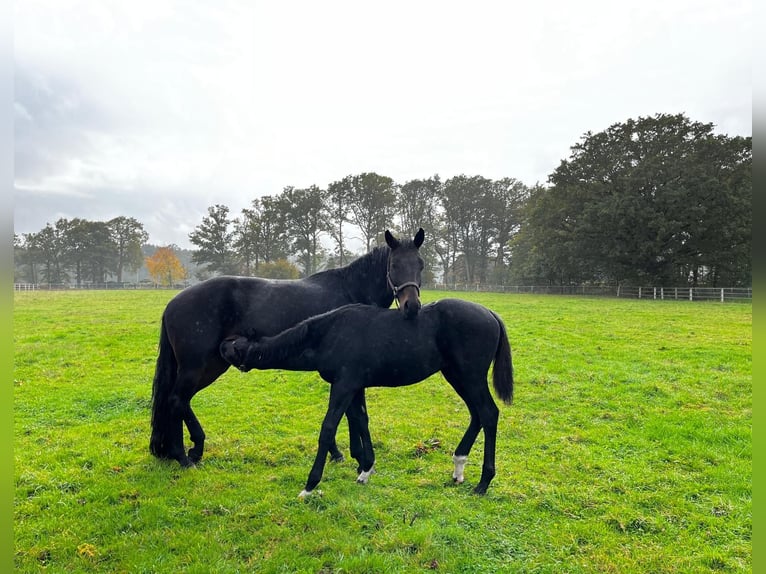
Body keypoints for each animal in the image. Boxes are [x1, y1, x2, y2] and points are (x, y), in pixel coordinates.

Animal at [150, 227, 426, 470]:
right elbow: (349, 413)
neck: (350, 290)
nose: (412, 306)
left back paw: (190, 450)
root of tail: (172, 304)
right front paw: (345, 455)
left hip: (211, 365)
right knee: (176, 400)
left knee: (180, 401)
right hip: (196, 367)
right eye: (394, 266)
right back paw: (184, 456)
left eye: (420, 264)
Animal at [219, 300, 512, 498]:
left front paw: (311, 485)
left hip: (470, 376)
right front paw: (365, 469)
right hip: (457, 375)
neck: (328, 334)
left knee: (488, 413)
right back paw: (459, 468)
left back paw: (483, 482)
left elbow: (328, 429)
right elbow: (361, 420)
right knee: (477, 414)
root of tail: (490, 314)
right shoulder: (355, 387)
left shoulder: (344, 385)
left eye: (235, 347)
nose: (220, 344)